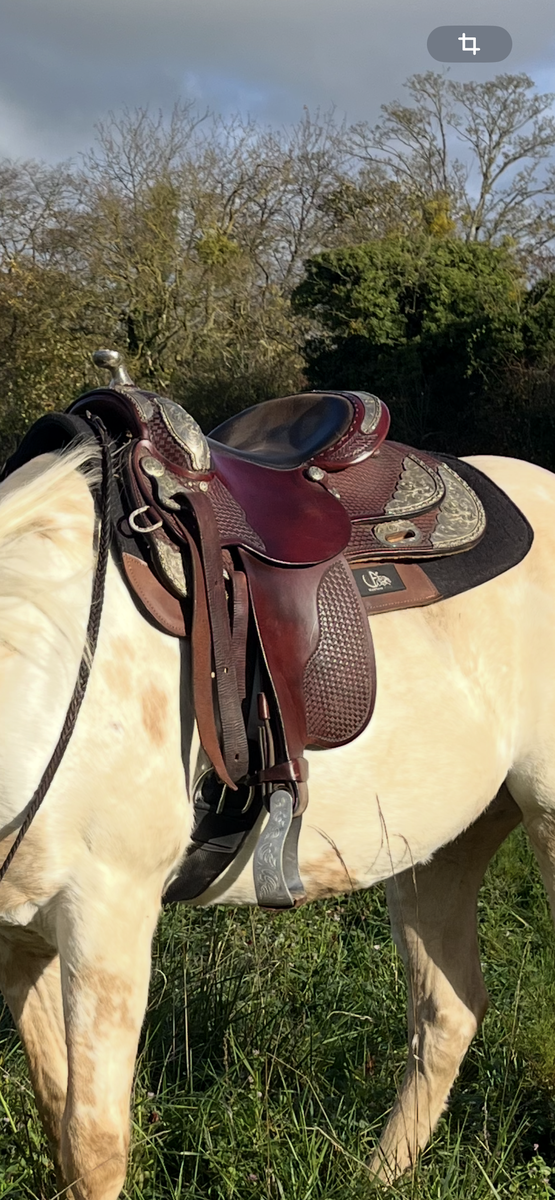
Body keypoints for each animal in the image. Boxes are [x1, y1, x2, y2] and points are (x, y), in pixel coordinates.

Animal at [0, 438, 553, 1200]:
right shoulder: (19, 940)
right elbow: (58, 1111)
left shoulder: (106, 913)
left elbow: (92, 1145)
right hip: (437, 849)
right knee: (449, 1012)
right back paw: (376, 1177)